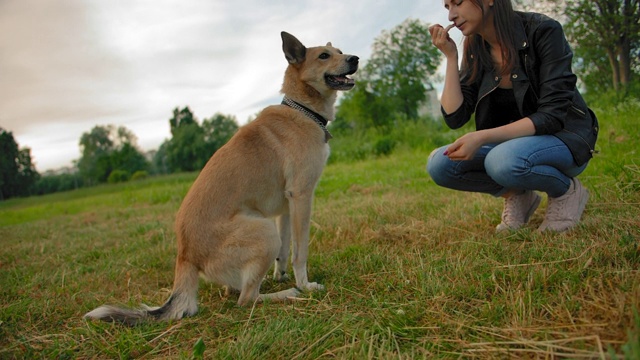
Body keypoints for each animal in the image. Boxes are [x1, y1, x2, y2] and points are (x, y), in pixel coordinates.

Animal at [82, 31, 358, 326]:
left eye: (340, 51)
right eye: (324, 56)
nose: (355, 59)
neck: (302, 109)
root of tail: (185, 257)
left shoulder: (286, 206)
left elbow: (284, 253)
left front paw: (280, 275)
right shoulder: (302, 197)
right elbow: (299, 252)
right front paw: (305, 285)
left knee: (239, 289)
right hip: (264, 231)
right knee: (246, 299)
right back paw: (286, 294)